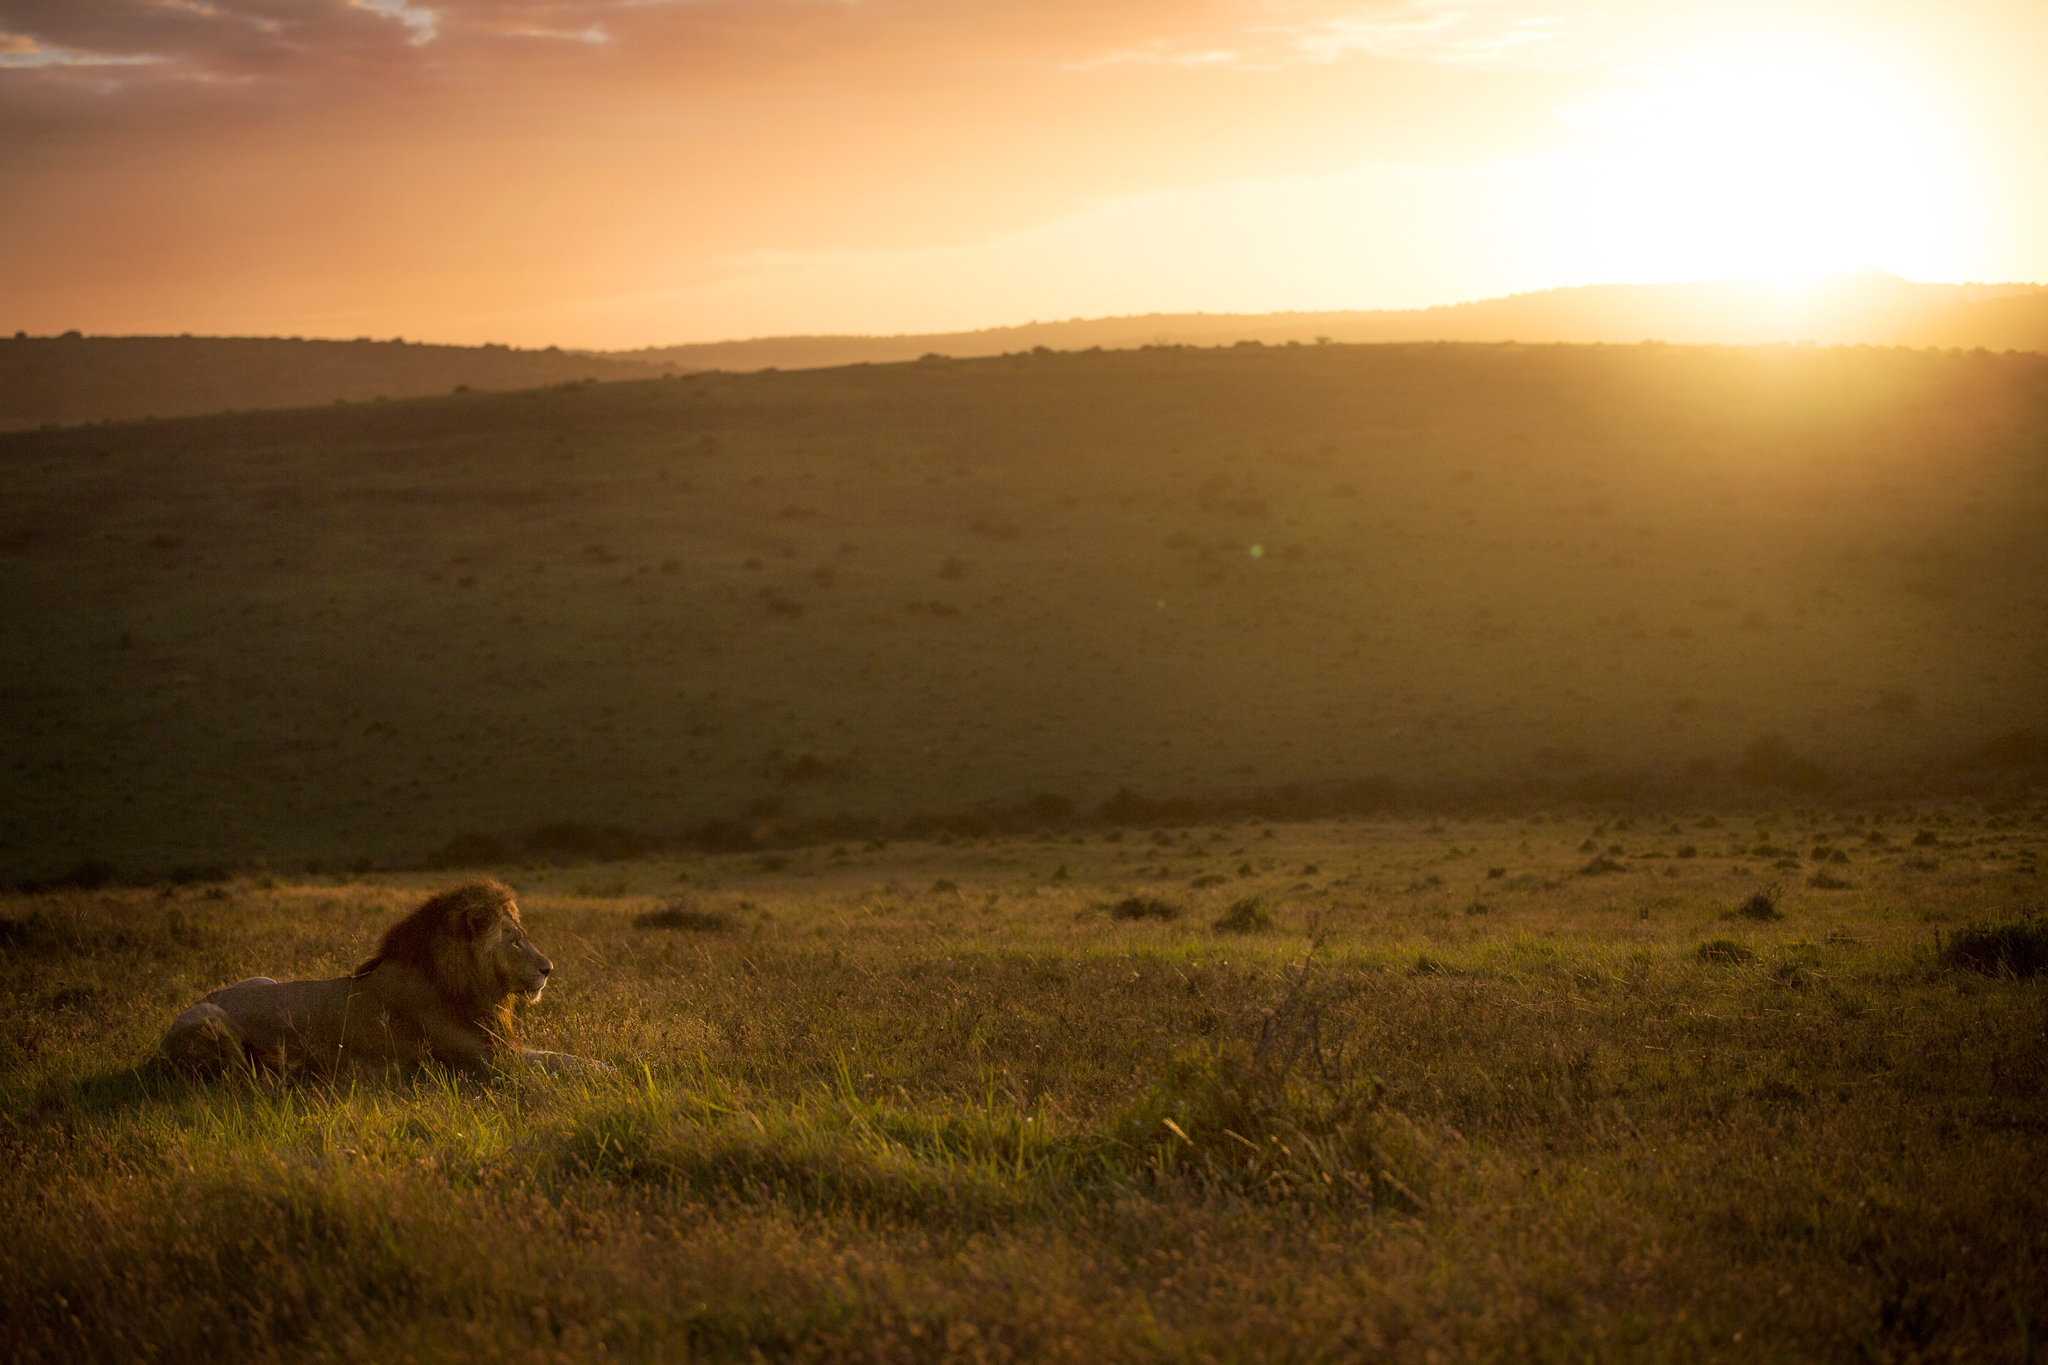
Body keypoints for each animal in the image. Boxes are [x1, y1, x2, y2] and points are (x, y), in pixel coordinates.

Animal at [159, 879, 606, 1080]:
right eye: (514, 941)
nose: (549, 969)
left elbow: (554, 1054)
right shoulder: (486, 1061)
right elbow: (554, 1061)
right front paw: (608, 1068)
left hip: (261, 978)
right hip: (211, 1022)